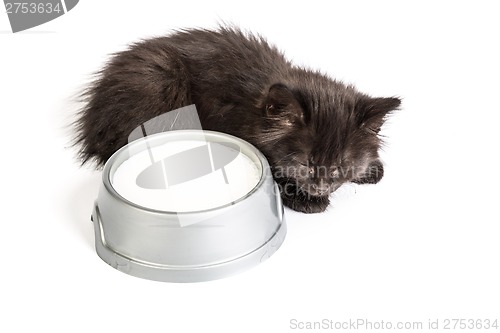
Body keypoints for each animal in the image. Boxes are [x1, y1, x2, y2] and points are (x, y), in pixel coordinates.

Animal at [74, 26, 400, 213]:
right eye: (306, 162)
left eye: (341, 166)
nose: (320, 186)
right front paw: (307, 201)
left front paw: (373, 170)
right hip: (159, 78)